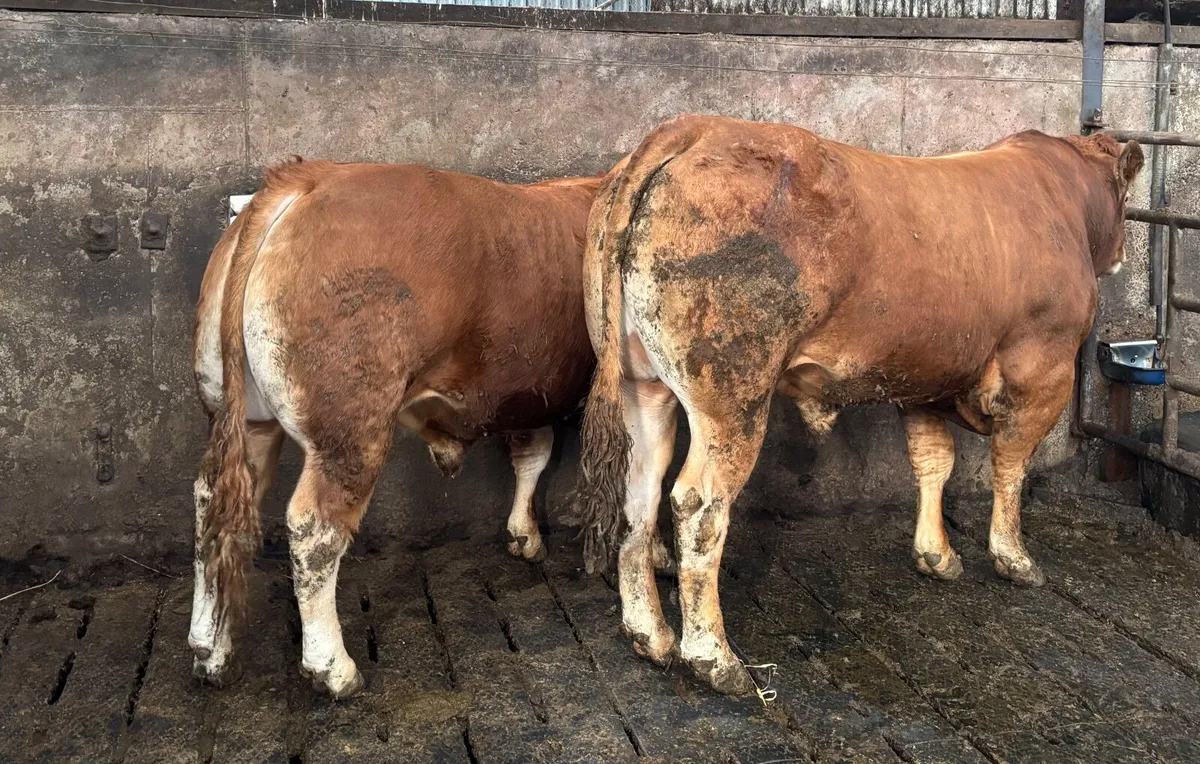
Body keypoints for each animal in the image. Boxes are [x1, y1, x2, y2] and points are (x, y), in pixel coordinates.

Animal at [188, 159, 670, 699]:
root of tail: (310, 178)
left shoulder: (527, 390)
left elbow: (533, 453)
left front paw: (523, 535)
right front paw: (655, 551)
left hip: (244, 415)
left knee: (213, 504)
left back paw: (210, 650)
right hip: (350, 428)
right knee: (314, 527)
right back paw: (333, 669)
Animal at [572, 114, 1144, 697]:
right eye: (1125, 197)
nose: (1122, 254)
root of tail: (696, 128)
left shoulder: (920, 379)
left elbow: (933, 461)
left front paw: (936, 554)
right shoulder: (1043, 368)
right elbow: (1011, 466)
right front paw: (1014, 558)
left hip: (642, 386)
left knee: (638, 494)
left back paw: (650, 635)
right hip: (734, 397)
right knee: (700, 505)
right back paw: (713, 657)